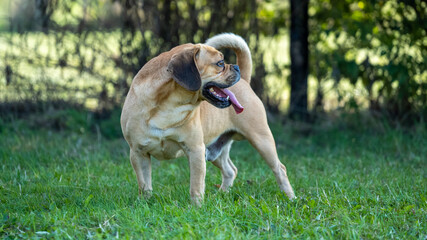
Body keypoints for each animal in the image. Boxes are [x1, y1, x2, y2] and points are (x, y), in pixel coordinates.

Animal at [119, 32, 294, 203]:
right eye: (220, 63)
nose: (235, 67)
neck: (168, 105)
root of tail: (245, 80)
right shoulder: (138, 153)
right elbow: (144, 184)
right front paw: (145, 203)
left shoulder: (195, 150)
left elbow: (196, 186)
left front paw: (196, 206)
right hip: (215, 149)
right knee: (230, 171)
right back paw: (221, 195)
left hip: (261, 140)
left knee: (280, 169)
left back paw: (291, 198)